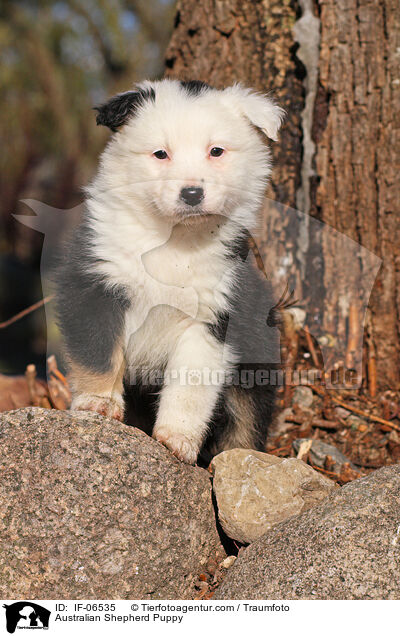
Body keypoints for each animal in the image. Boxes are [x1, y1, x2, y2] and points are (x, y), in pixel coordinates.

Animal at [55, 80, 284, 462]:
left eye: (216, 151)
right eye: (160, 154)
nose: (192, 193)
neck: (175, 242)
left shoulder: (213, 315)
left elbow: (191, 384)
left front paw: (177, 439)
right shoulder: (98, 284)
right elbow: (100, 353)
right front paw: (99, 403)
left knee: (247, 416)